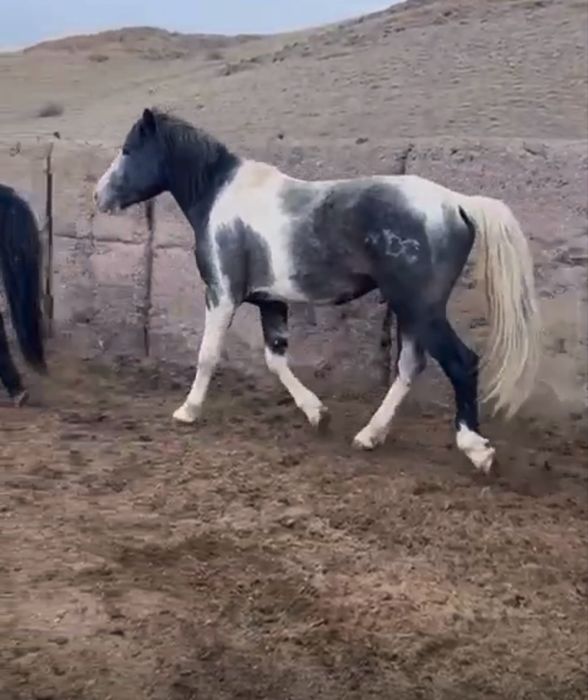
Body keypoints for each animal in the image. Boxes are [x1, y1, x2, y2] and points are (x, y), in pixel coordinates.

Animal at [94, 108, 541, 473]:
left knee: (461, 363)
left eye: (129, 149)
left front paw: (188, 411)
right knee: (410, 367)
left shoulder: (221, 293)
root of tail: (457, 203)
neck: (219, 195)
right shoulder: (270, 301)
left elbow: (208, 355)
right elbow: (276, 360)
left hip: (420, 307)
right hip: (413, 311)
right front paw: (317, 414)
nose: (98, 196)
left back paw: (477, 450)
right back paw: (369, 436)